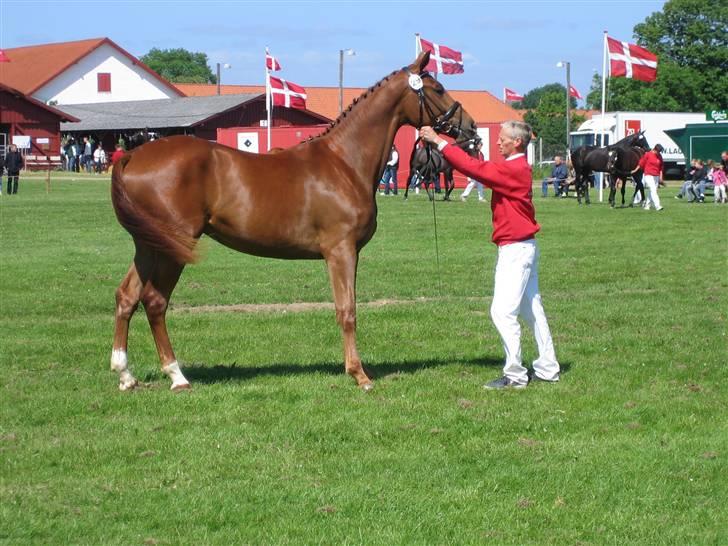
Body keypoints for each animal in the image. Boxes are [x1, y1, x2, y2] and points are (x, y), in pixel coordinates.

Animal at [108, 50, 478, 392]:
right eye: (438, 88)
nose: (471, 128)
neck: (344, 162)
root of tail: (132, 155)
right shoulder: (340, 251)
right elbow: (347, 310)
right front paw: (359, 375)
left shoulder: (349, 253)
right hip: (174, 246)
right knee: (155, 302)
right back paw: (176, 375)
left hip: (148, 246)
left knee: (127, 296)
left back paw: (126, 374)